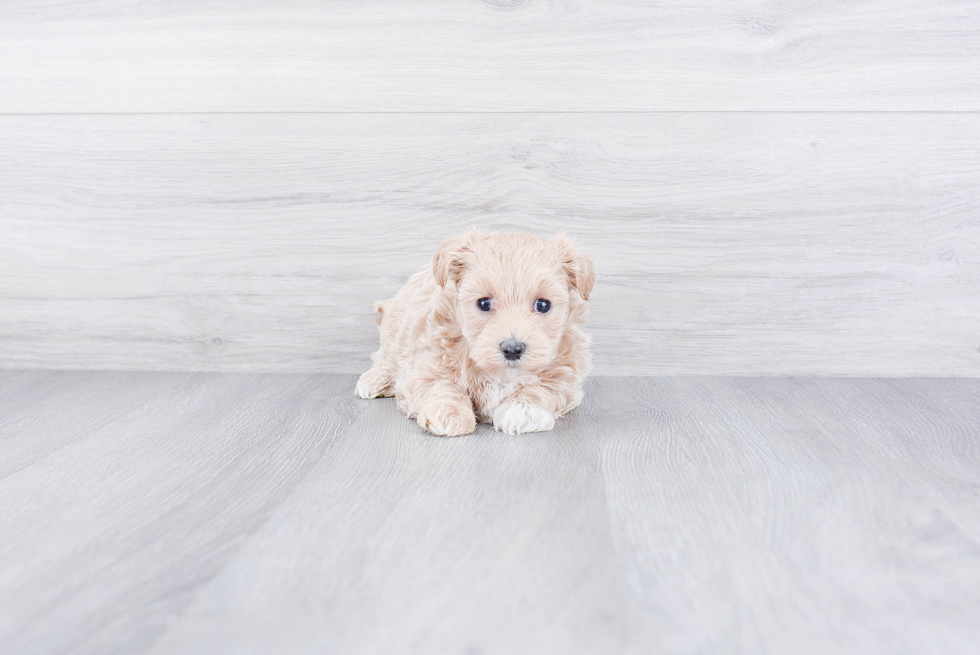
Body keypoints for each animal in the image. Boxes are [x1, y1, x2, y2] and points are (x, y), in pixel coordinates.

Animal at [356, 231, 592, 436]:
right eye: (484, 303)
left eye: (543, 305)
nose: (513, 349)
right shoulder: (426, 366)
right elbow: (441, 385)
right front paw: (448, 413)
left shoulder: (567, 375)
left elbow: (545, 388)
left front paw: (523, 410)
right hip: (394, 330)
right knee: (384, 357)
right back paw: (374, 380)